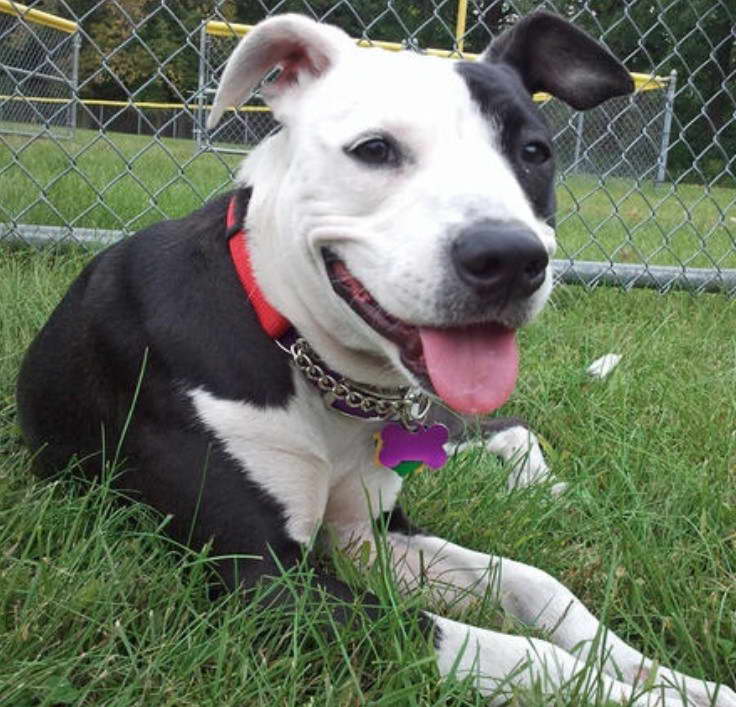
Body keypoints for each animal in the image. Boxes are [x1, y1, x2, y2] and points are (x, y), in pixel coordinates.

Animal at [17, 12, 736, 707]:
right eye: (374, 149)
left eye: (535, 152)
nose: (509, 257)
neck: (307, 357)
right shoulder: (265, 582)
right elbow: (514, 649)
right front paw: (645, 694)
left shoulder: (373, 534)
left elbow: (537, 583)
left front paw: (672, 678)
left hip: (443, 426)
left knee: (508, 427)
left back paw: (546, 487)